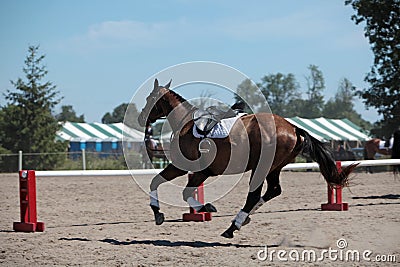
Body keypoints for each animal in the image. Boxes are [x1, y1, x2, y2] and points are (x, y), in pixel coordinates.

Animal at [137, 79, 356, 239]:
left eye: (149, 98)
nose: (141, 119)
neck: (186, 124)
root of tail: (294, 127)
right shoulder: (200, 171)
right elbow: (172, 187)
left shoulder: (186, 167)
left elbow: (165, 185)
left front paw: (164, 212)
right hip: (273, 168)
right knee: (272, 191)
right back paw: (244, 219)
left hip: (260, 168)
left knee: (254, 196)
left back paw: (232, 227)